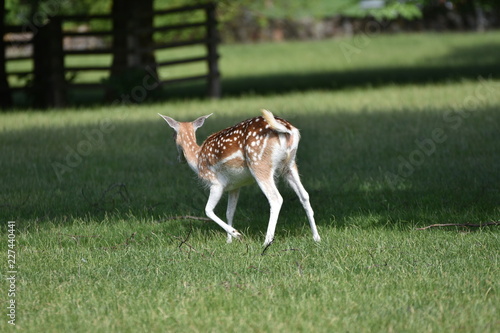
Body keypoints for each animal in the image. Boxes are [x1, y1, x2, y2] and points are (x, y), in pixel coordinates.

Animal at [159, 109, 320, 246]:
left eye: (172, 136)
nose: (180, 159)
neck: (198, 160)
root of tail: (288, 130)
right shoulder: (234, 187)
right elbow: (229, 212)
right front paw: (229, 241)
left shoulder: (216, 183)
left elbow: (208, 210)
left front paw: (236, 234)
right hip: (289, 165)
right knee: (304, 195)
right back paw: (316, 237)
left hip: (259, 163)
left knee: (276, 198)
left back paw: (266, 242)